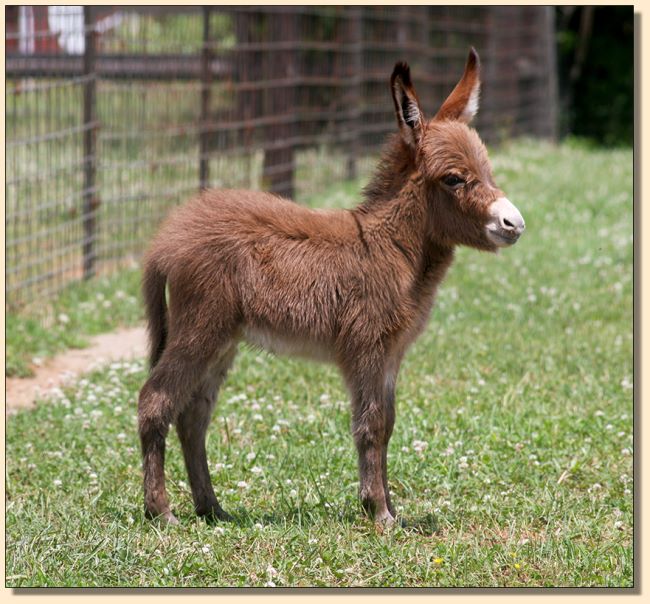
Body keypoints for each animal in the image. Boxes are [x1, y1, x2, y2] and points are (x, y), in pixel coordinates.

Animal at [139, 49, 524, 528]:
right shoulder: (366, 348)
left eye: (487, 170)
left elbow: (388, 424)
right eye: (454, 178)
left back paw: (211, 508)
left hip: (223, 339)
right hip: (200, 328)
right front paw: (379, 514)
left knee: (192, 416)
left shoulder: (391, 355)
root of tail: (166, 240)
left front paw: (388, 507)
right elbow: (371, 425)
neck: (391, 246)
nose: (514, 224)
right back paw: (161, 512)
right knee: (156, 401)